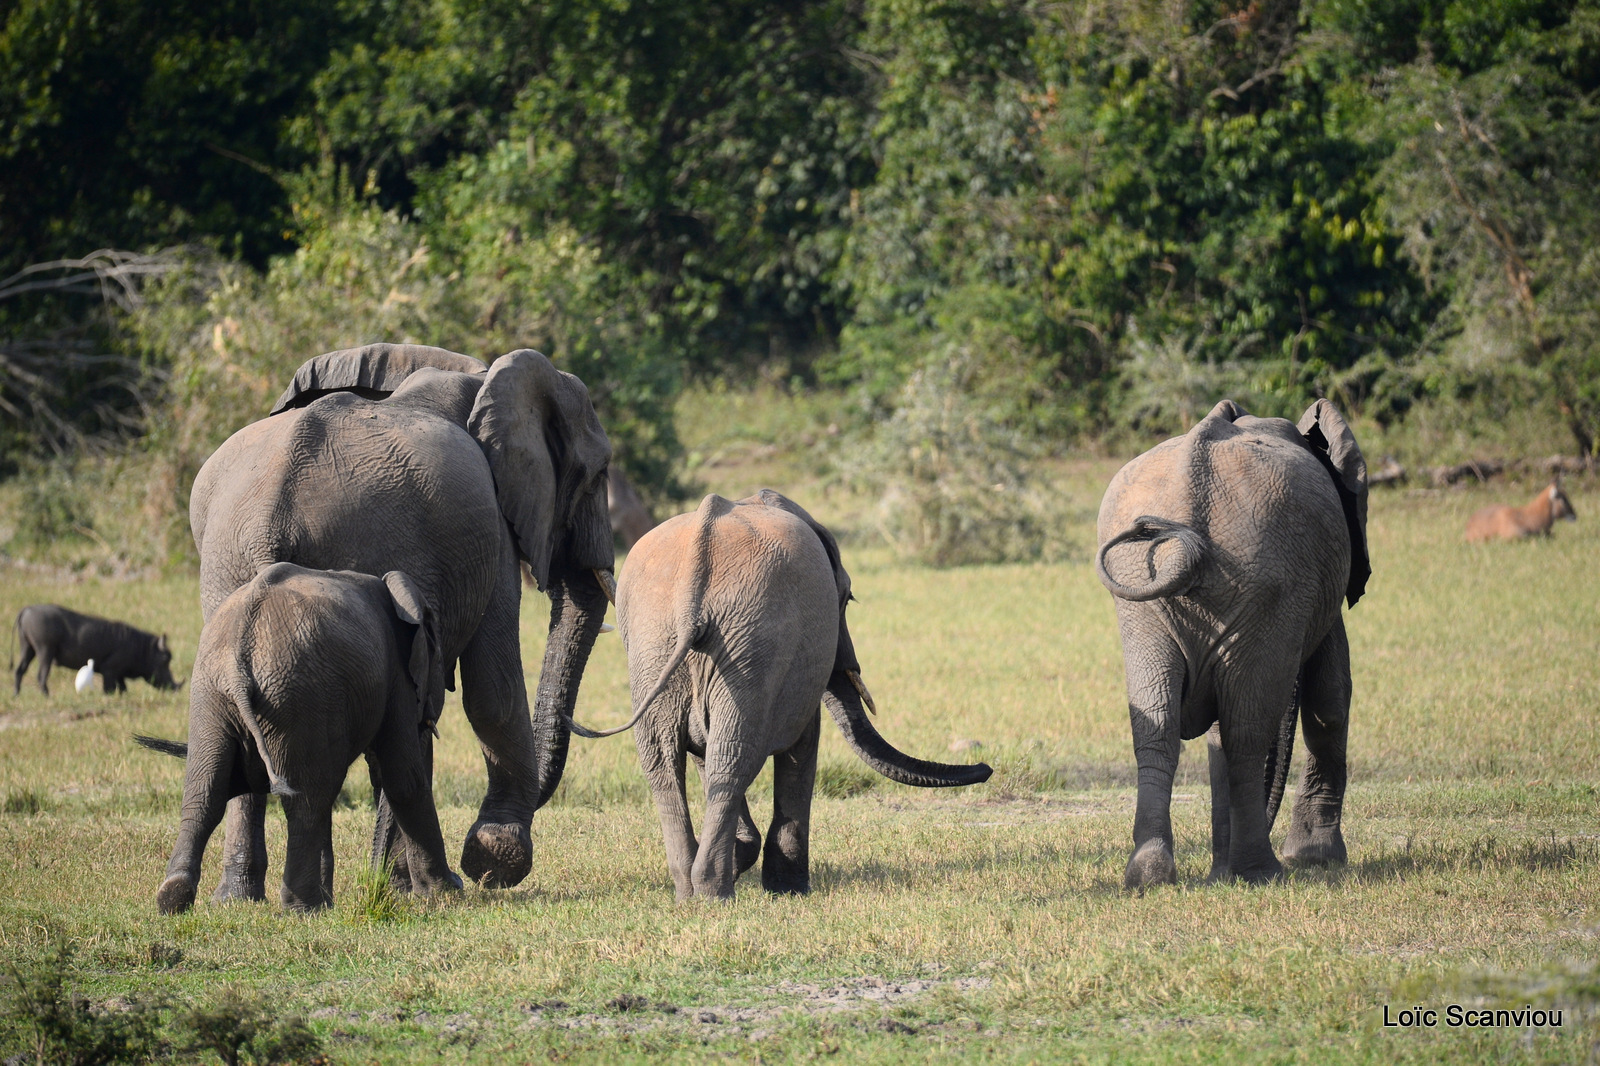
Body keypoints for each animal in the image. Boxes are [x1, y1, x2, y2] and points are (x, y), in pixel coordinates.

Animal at [140, 563, 460, 915]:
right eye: (438, 657)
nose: (375, 885)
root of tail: (240, 655)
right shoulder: (396, 678)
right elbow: (404, 780)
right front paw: (448, 891)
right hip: (299, 696)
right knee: (307, 801)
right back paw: (307, 908)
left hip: (211, 696)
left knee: (205, 793)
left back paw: (172, 898)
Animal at [188, 340, 611, 889]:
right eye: (600, 474)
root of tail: (268, 519)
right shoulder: (493, 530)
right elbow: (490, 689)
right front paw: (494, 861)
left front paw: (400, 883)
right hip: (365, 544)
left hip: (226, 567)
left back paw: (241, 895)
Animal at [582, 489, 985, 896]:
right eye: (847, 599)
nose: (985, 769)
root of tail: (693, 587)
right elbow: (801, 747)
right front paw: (788, 889)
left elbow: (700, 752)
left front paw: (750, 863)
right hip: (749, 645)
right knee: (731, 757)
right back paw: (714, 894)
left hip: (658, 644)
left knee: (667, 761)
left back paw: (690, 892)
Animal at [1100, 398, 1376, 889]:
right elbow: (1331, 698)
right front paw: (1315, 859)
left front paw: (1222, 874)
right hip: (1263, 583)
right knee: (1247, 732)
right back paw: (1261, 872)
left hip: (1142, 595)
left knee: (1159, 723)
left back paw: (1150, 876)